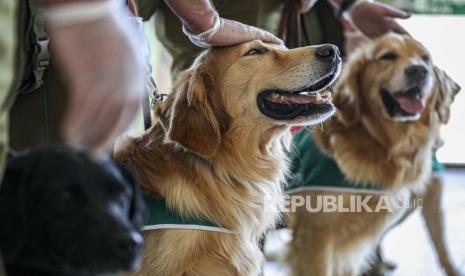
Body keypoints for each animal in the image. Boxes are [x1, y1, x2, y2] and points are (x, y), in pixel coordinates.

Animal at [286, 34, 460, 276]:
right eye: (388, 56)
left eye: (426, 58)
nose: (419, 70)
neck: (378, 142)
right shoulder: (314, 233)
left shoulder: (350, 245)